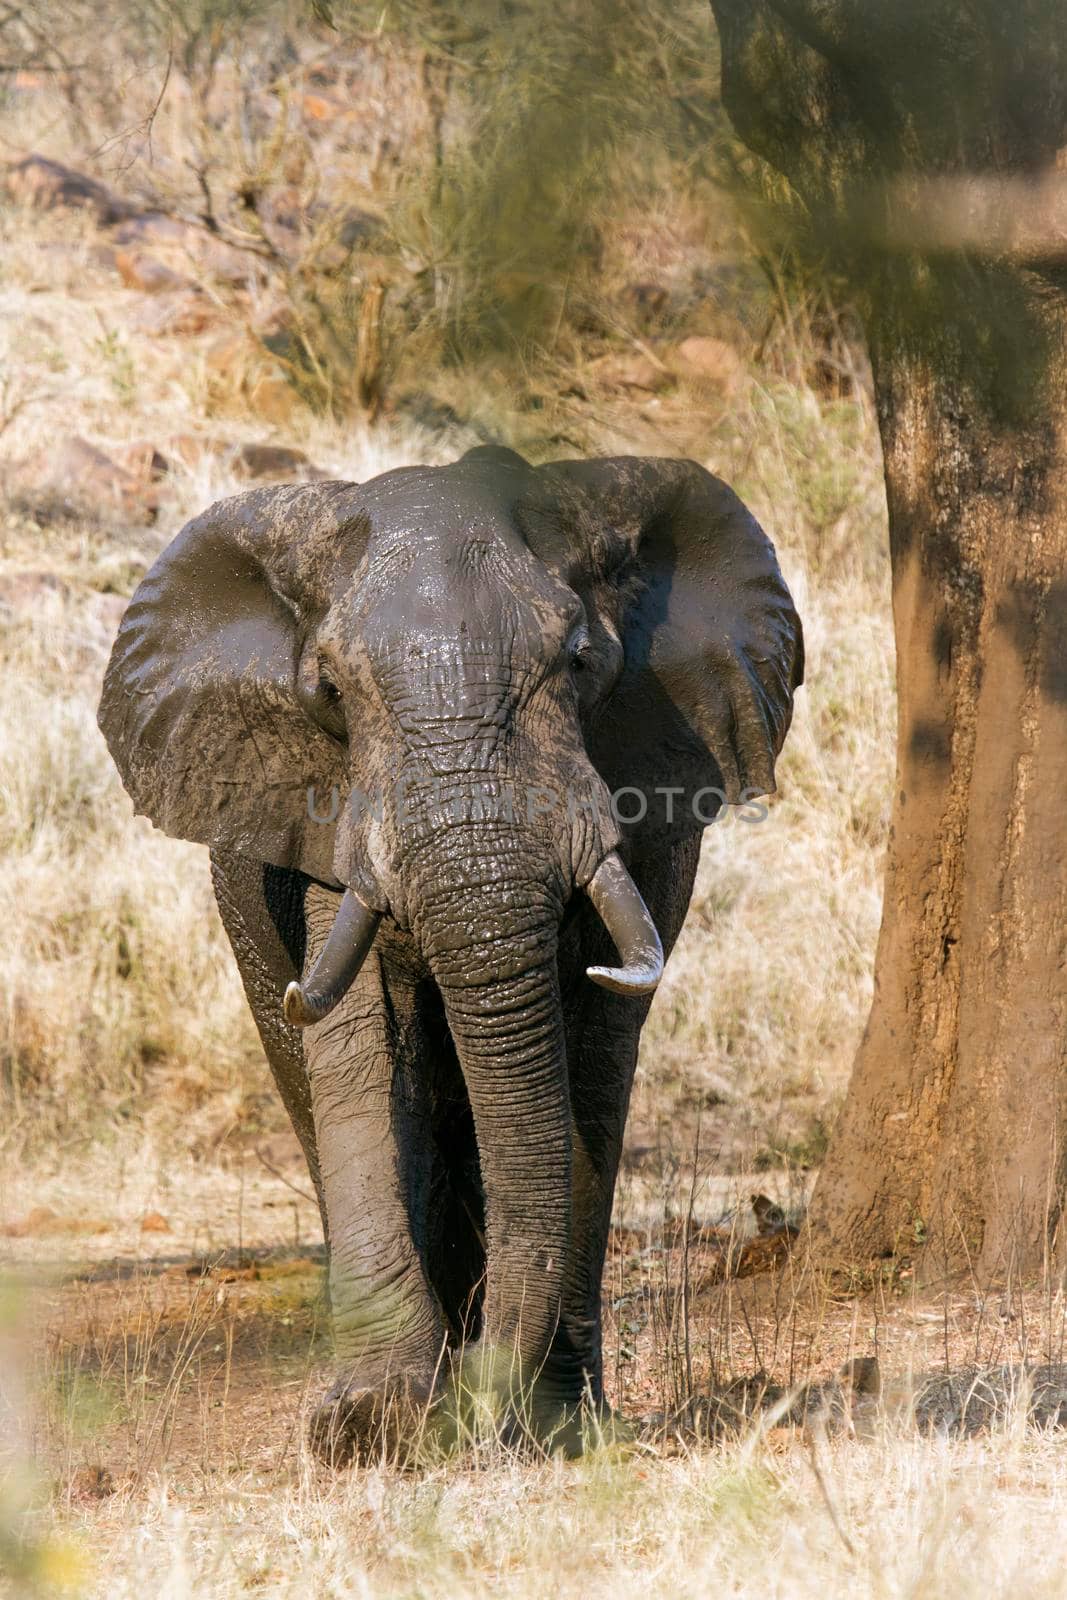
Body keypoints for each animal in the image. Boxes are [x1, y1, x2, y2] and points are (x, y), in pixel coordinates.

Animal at [97, 441, 799, 1465]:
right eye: (329, 694)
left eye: (581, 662)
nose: (473, 1393)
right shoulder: (324, 815)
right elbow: (357, 1046)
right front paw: (371, 1427)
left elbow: (588, 1059)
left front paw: (553, 1426)